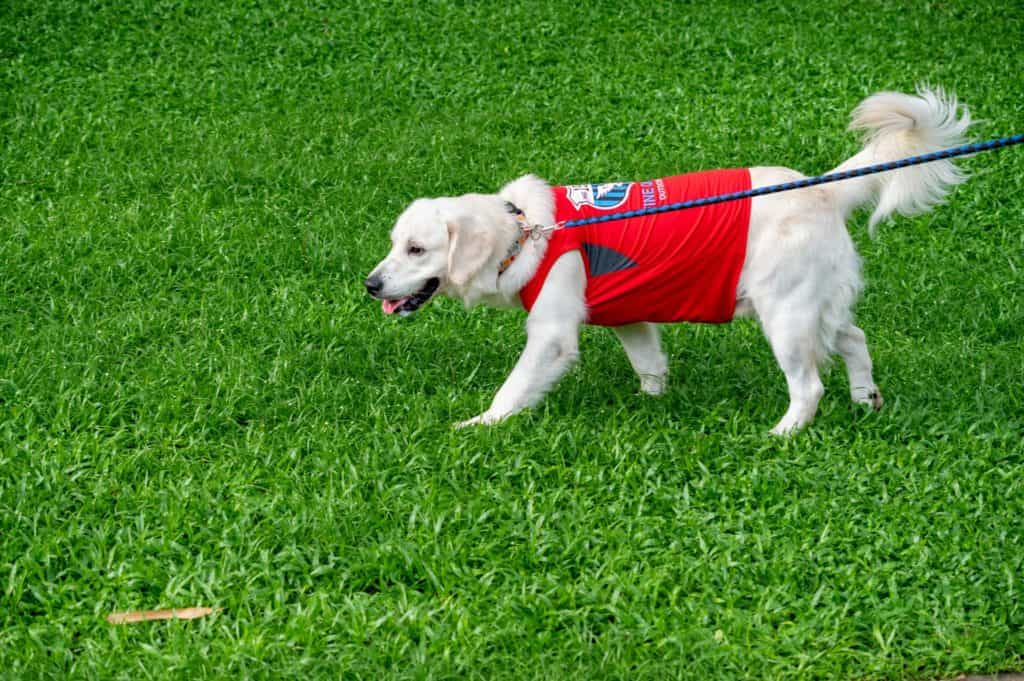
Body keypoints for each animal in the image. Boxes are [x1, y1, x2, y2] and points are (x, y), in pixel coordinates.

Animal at [364, 87, 970, 432]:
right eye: (394, 243)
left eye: (417, 249)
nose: (370, 284)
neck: (525, 231)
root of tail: (822, 189)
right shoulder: (630, 318)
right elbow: (649, 365)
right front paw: (651, 404)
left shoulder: (553, 333)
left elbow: (513, 389)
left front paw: (480, 425)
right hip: (816, 305)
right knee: (856, 339)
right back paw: (867, 400)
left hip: (786, 316)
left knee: (810, 386)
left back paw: (782, 434)